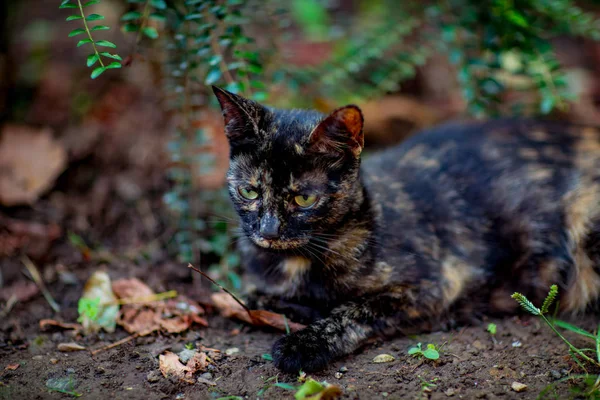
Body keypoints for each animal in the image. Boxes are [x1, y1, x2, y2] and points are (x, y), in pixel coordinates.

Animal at [212, 86, 600, 374]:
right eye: (250, 191)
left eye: (304, 198)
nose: (268, 230)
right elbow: (253, 296)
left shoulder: (434, 285)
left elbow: (356, 310)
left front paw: (304, 343)